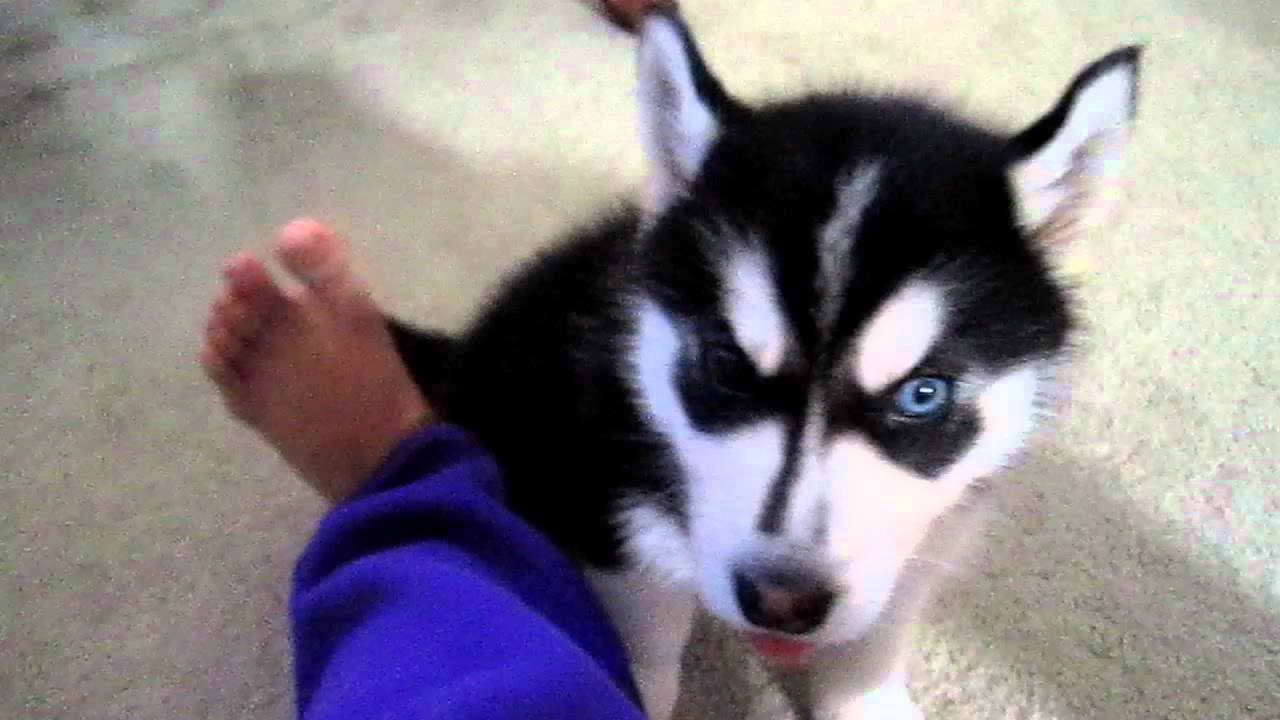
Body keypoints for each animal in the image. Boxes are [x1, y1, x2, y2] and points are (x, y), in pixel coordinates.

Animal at [389, 7, 1141, 717]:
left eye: (922, 395)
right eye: (727, 364)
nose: (783, 602)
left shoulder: (932, 527)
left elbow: (880, 627)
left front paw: (864, 694)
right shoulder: (609, 508)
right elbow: (644, 636)